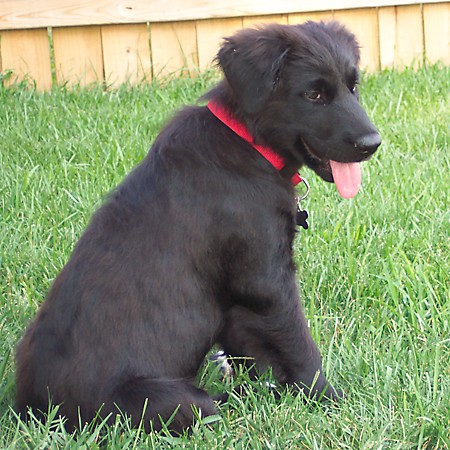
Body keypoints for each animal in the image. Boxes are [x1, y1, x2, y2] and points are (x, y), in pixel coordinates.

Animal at [15, 21, 380, 432]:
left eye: (353, 86)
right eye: (314, 94)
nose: (372, 143)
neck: (249, 145)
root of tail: (32, 411)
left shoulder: (239, 303)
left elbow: (251, 352)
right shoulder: (267, 283)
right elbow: (300, 348)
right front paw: (330, 400)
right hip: (172, 401)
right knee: (211, 405)